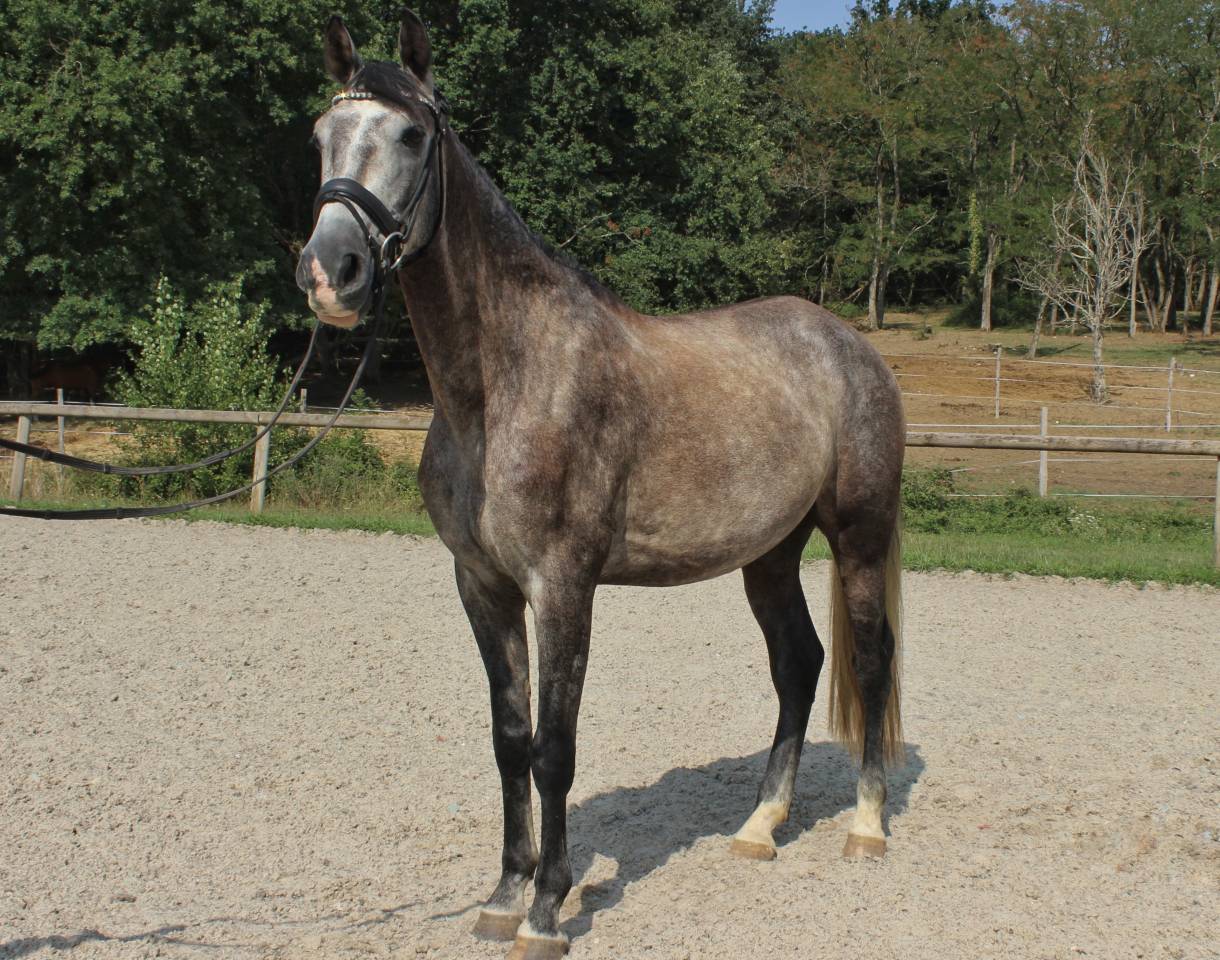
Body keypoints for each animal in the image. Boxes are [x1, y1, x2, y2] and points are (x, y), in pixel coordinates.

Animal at [297, 13, 905, 959]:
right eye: (322, 134)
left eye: (411, 136)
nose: (333, 271)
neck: (504, 384)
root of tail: (849, 346)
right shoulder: (482, 586)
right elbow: (510, 739)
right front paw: (505, 893)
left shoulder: (563, 586)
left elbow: (555, 748)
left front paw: (548, 909)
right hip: (770, 554)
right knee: (798, 664)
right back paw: (760, 827)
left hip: (859, 539)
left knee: (869, 662)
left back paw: (867, 827)